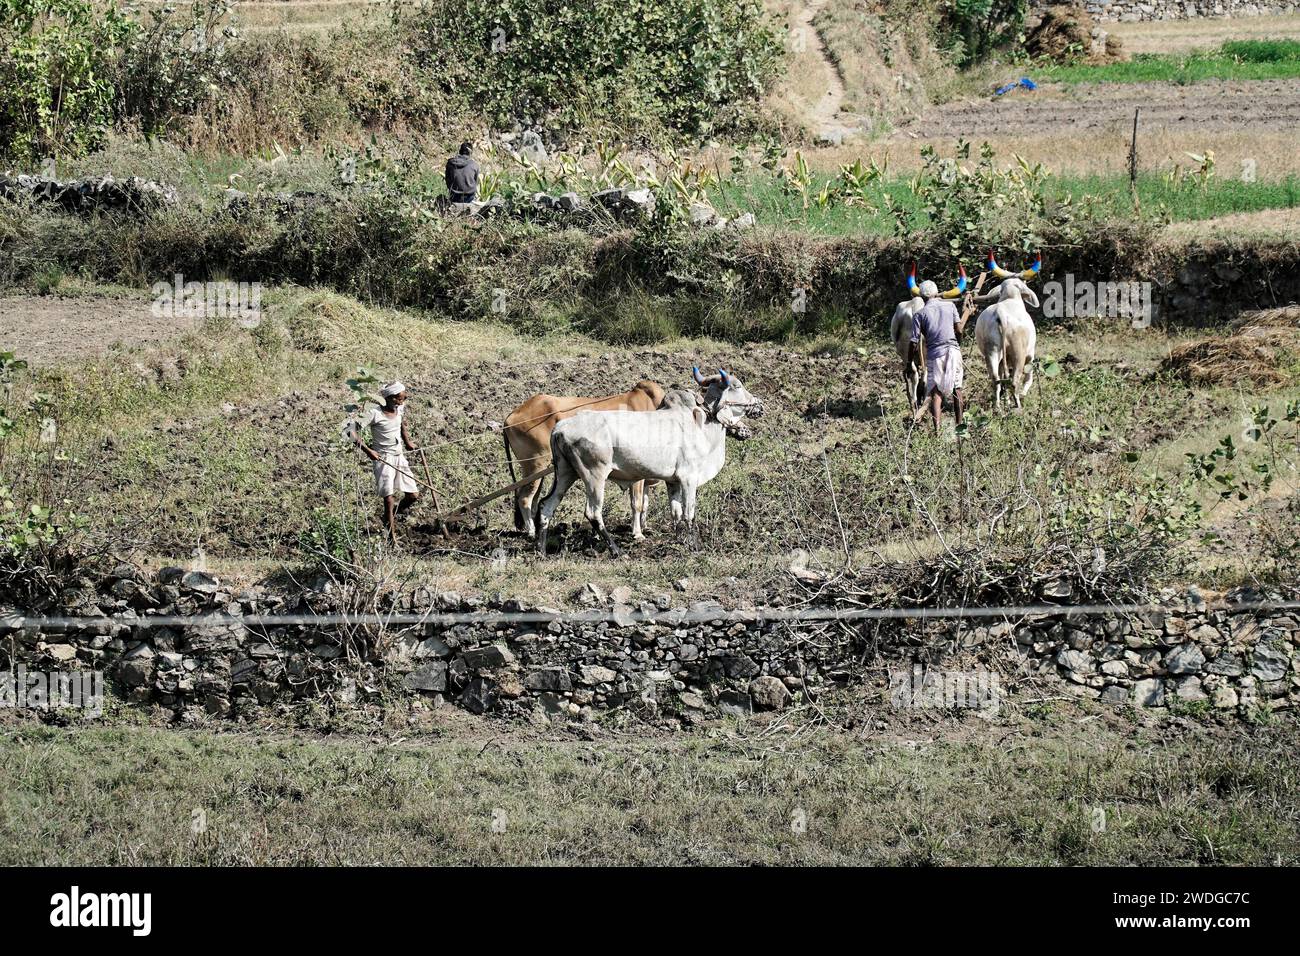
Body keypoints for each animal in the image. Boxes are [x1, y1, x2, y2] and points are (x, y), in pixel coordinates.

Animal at [503, 380, 665, 538]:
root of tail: (512, 415)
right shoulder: (636, 475)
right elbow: (637, 503)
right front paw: (637, 533)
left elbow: (644, 503)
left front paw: (644, 527)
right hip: (535, 465)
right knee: (525, 498)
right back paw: (531, 532)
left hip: (537, 471)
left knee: (533, 499)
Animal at [535, 368, 764, 557]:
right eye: (738, 386)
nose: (759, 405)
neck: (702, 422)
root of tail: (560, 428)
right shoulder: (689, 478)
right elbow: (689, 514)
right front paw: (694, 546)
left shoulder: (673, 481)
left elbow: (676, 513)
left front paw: (680, 541)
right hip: (594, 476)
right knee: (593, 512)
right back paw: (616, 550)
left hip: (566, 473)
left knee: (546, 505)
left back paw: (541, 550)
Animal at [973, 251, 1042, 410]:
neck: (1010, 298)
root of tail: (1001, 313)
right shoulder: (1030, 354)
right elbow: (1028, 378)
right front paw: (1023, 394)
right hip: (1019, 353)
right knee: (1014, 380)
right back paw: (1017, 405)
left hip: (992, 351)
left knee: (996, 379)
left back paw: (998, 407)